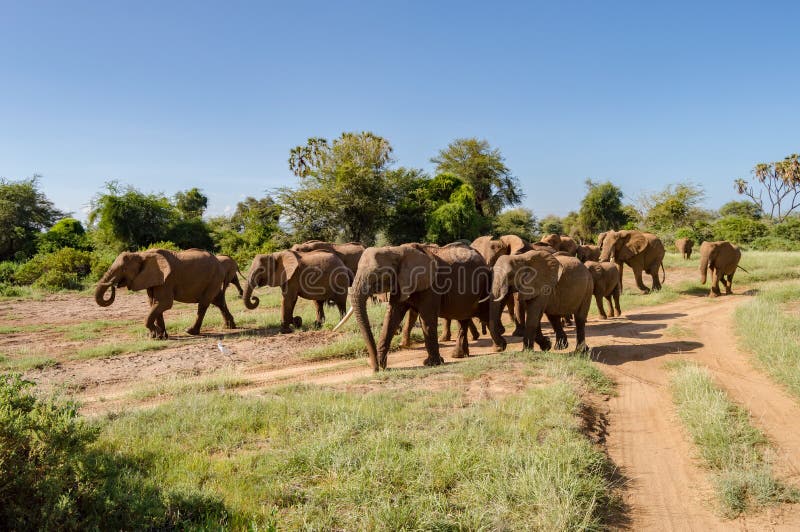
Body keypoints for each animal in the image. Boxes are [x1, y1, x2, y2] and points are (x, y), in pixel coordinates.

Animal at [95, 248, 235, 339]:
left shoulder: (167, 279)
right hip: (214, 279)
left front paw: (157, 334)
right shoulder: (153, 279)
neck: (142, 254)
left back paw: (190, 331)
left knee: (204, 303)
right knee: (218, 301)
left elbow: (164, 303)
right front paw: (159, 336)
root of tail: (219, 261)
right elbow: (154, 304)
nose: (113, 285)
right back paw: (230, 327)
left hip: (214, 277)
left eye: (123, 269)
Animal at [338, 242, 490, 370]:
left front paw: (432, 363)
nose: (375, 368)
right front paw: (381, 364)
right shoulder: (400, 283)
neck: (396, 250)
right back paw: (459, 355)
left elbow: (427, 319)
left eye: (378, 274)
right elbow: (392, 316)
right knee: (462, 318)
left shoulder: (430, 286)